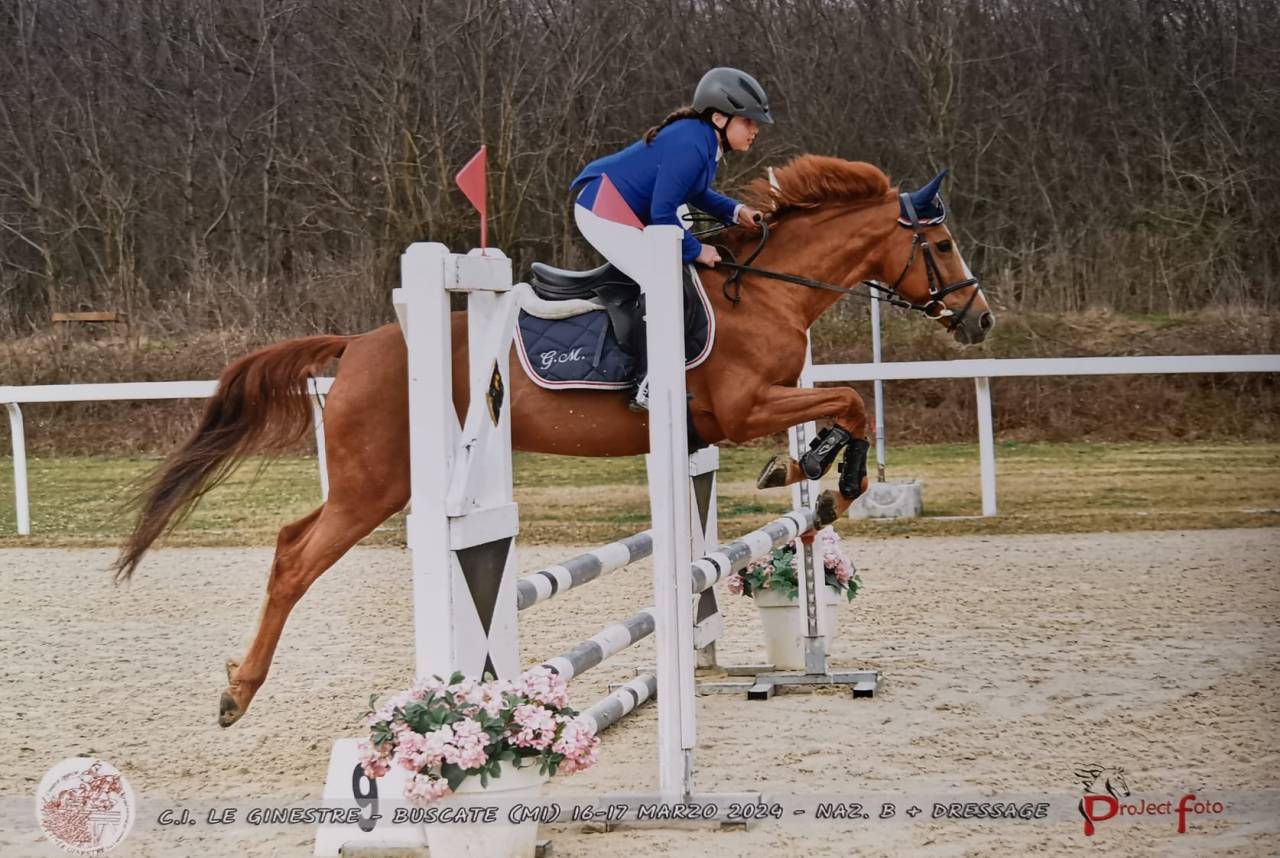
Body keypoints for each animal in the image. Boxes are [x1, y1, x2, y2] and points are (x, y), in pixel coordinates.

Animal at [112, 154, 993, 726]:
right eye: (944, 245)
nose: (981, 319)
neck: (764, 291)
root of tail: (357, 345)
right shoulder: (741, 407)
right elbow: (850, 401)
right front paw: (823, 476)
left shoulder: (746, 410)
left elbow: (846, 403)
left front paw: (806, 467)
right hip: (375, 485)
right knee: (296, 556)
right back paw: (237, 693)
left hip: (375, 482)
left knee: (293, 541)